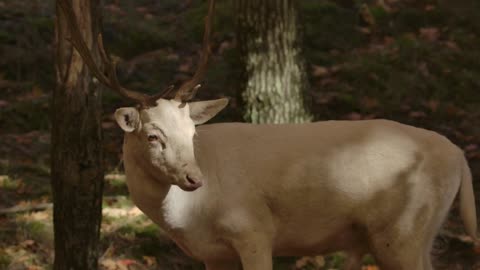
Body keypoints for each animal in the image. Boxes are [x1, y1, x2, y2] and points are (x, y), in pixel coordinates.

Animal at [59, 0, 476, 268]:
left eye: (192, 132)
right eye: (153, 136)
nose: (194, 178)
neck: (193, 219)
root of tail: (459, 156)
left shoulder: (254, 229)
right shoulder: (214, 255)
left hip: (405, 231)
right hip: (417, 234)